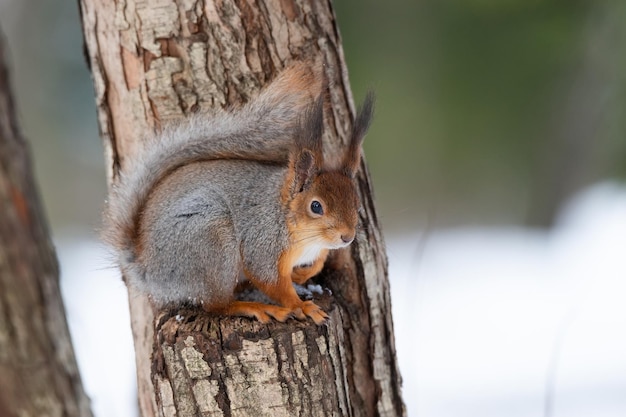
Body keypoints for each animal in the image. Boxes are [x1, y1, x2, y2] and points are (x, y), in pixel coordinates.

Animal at [103, 61, 372, 324]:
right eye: (316, 206)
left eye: (357, 204)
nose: (347, 237)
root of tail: (148, 270)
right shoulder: (261, 243)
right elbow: (272, 282)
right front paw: (300, 306)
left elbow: (316, 264)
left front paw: (302, 273)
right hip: (212, 241)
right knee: (216, 306)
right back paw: (256, 307)